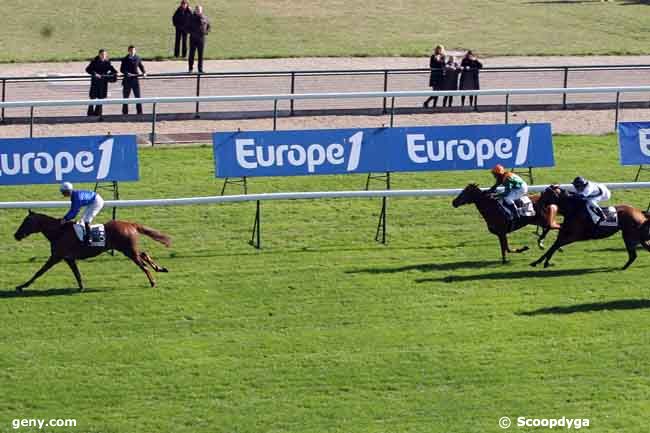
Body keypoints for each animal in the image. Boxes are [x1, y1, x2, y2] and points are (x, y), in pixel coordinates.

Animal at [13, 211, 171, 292]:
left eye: (26, 222)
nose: (16, 235)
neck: (59, 232)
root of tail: (130, 224)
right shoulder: (68, 258)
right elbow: (77, 274)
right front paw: (81, 287)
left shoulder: (56, 256)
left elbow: (39, 272)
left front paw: (21, 286)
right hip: (129, 249)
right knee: (144, 254)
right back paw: (160, 268)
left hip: (128, 250)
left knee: (143, 264)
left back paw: (153, 282)